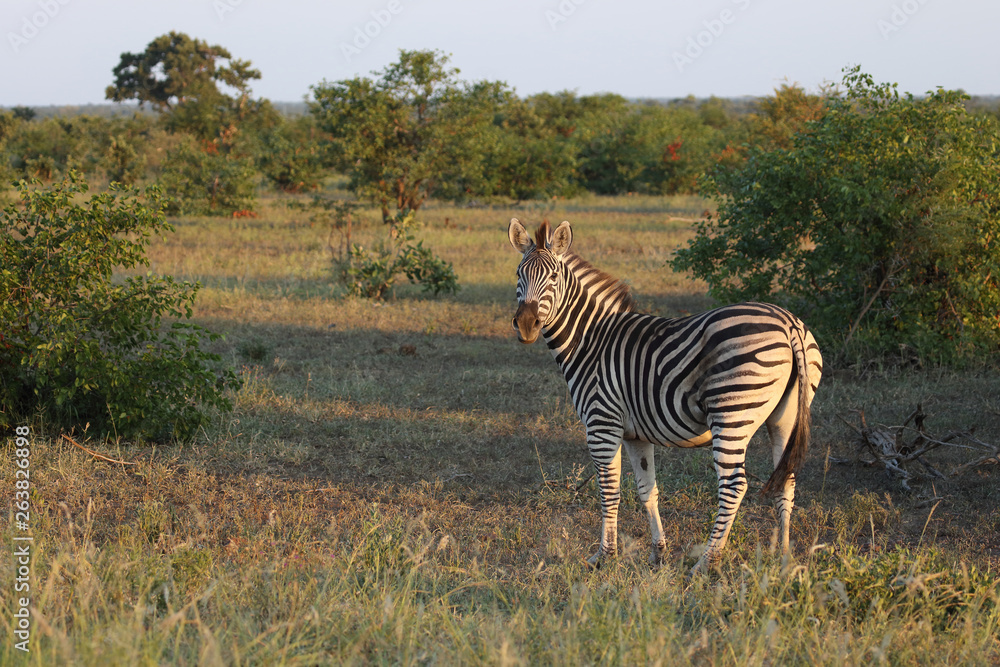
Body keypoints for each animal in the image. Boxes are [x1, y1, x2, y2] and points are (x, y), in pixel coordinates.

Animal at [507, 218, 823, 575]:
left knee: (733, 486)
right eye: (519, 275)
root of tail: (789, 324)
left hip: (732, 416)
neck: (591, 341)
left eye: (553, 278)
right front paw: (658, 554)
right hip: (784, 417)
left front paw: (605, 556)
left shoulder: (602, 425)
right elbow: (647, 490)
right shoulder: (635, 434)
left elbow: (609, 492)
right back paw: (783, 558)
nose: (526, 325)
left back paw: (705, 564)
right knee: (786, 478)